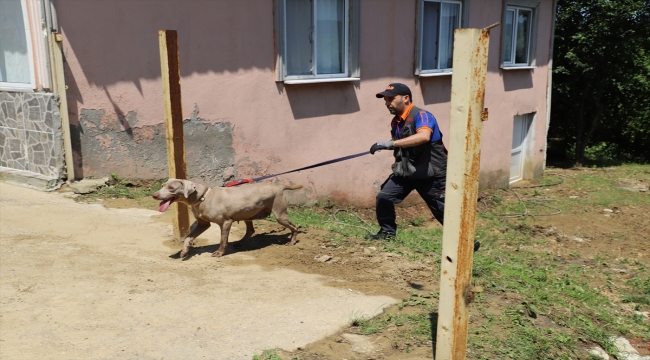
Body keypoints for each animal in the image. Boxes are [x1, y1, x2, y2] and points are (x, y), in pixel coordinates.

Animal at [153, 178, 302, 258]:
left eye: (171, 188)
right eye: (162, 186)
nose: (154, 195)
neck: (202, 197)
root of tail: (279, 186)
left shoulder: (225, 222)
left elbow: (222, 240)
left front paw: (219, 253)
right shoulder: (203, 224)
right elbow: (188, 237)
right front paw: (184, 252)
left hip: (280, 214)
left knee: (295, 227)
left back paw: (292, 242)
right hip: (247, 213)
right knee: (250, 230)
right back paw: (240, 242)